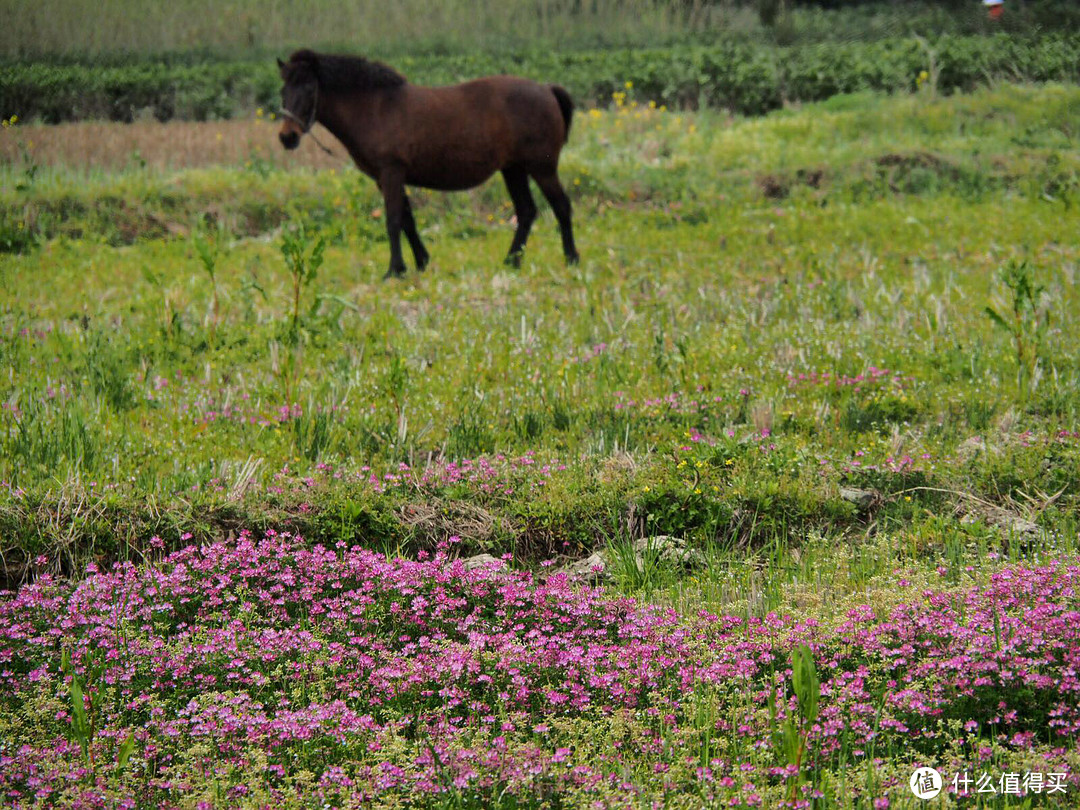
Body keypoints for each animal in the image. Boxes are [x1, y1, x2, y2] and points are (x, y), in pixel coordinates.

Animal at [278, 51, 583, 278]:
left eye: (308, 89)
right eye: (283, 90)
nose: (286, 137)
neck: (374, 108)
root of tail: (547, 89)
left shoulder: (391, 172)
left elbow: (393, 219)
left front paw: (394, 270)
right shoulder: (385, 177)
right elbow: (407, 220)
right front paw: (420, 262)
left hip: (542, 168)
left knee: (560, 206)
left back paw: (571, 258)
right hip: (513, 169)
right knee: (527, 211)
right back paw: (512, 261)